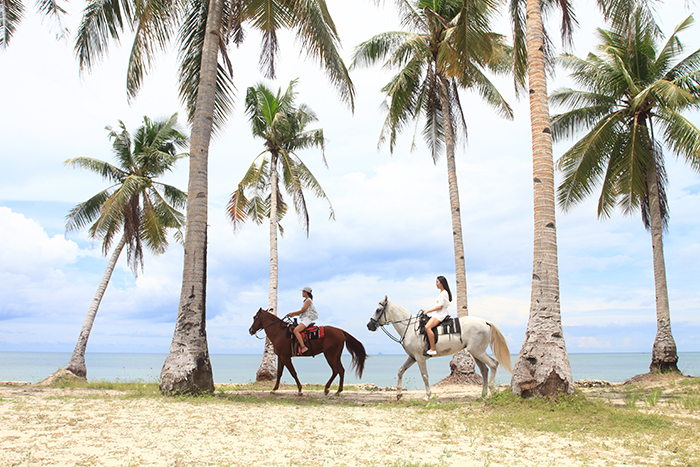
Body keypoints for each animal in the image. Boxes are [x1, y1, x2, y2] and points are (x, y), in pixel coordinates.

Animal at [366, 298, 516, 400]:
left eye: (378, 310)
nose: (369, 325)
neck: (410, 328)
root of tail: (484, 322)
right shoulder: (412, 357)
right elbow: (400, 371)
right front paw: (398, 394)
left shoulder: (420, 358)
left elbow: (425, 376)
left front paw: (428, 396)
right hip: (476, 353)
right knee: (484, 370)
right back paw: (483, 394)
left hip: (478, 351)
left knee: (493, 364)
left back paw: (491, 391)